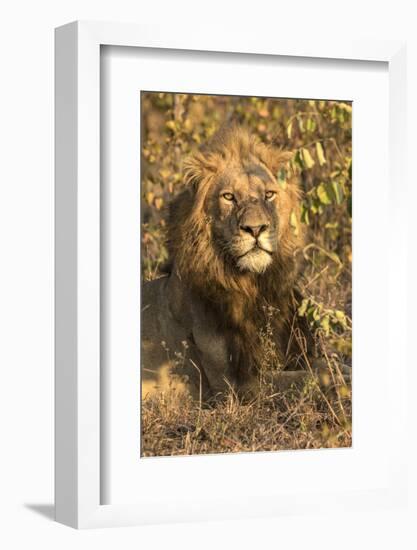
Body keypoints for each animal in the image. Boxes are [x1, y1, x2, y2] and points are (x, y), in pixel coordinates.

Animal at [142, 124, 322, 402]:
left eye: (269, 195)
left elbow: (326, 367)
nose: (255, 229)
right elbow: (309, 379)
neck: (253, 286)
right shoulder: (234, 386)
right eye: (228, 197)